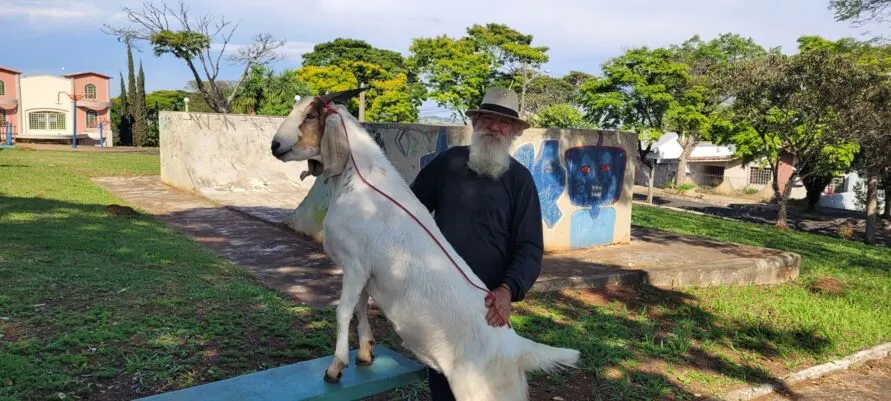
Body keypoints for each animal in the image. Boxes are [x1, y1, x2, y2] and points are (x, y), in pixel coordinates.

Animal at [268, 89, 580, 398]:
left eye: (310, 115)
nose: (275, 145)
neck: (359, 181)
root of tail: (517, 350)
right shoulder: (364, 272)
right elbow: (360, 307)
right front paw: (366, 353)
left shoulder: (355, 264)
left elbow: (344, 311)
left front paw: (335, 369)